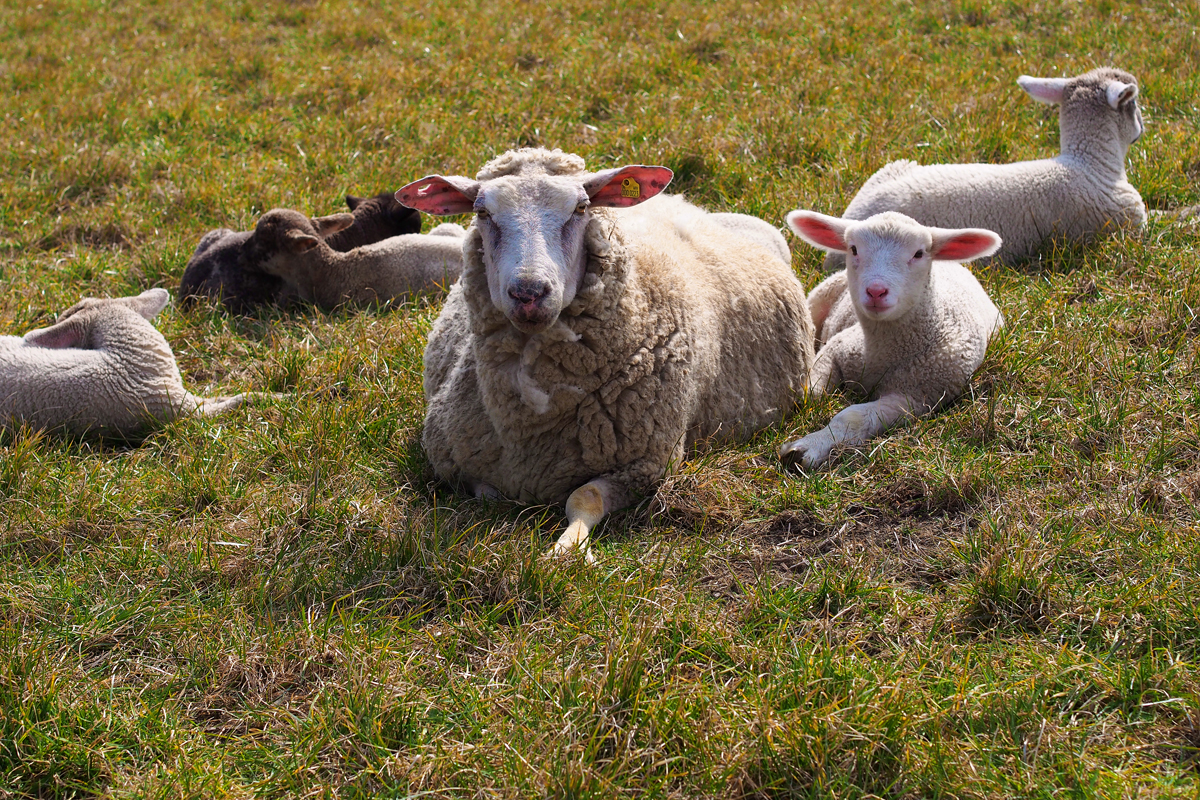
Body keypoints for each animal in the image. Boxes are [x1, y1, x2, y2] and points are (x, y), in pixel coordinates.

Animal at [398, 148, 820, 563]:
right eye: (482, 212)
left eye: (581, 208)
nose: (529, 293)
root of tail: (679, 201)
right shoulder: (451, 460)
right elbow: (489, 495)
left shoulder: (645, 466)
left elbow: (584, 497)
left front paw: (568, 549)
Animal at [777, 211, 1003, 470]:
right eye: (853, 249)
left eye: (918, 253)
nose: (876, 291)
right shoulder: (837, 346)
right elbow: (812, 393)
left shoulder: (917, 398)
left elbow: (853, 416)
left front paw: (808, 447)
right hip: (819, 298)